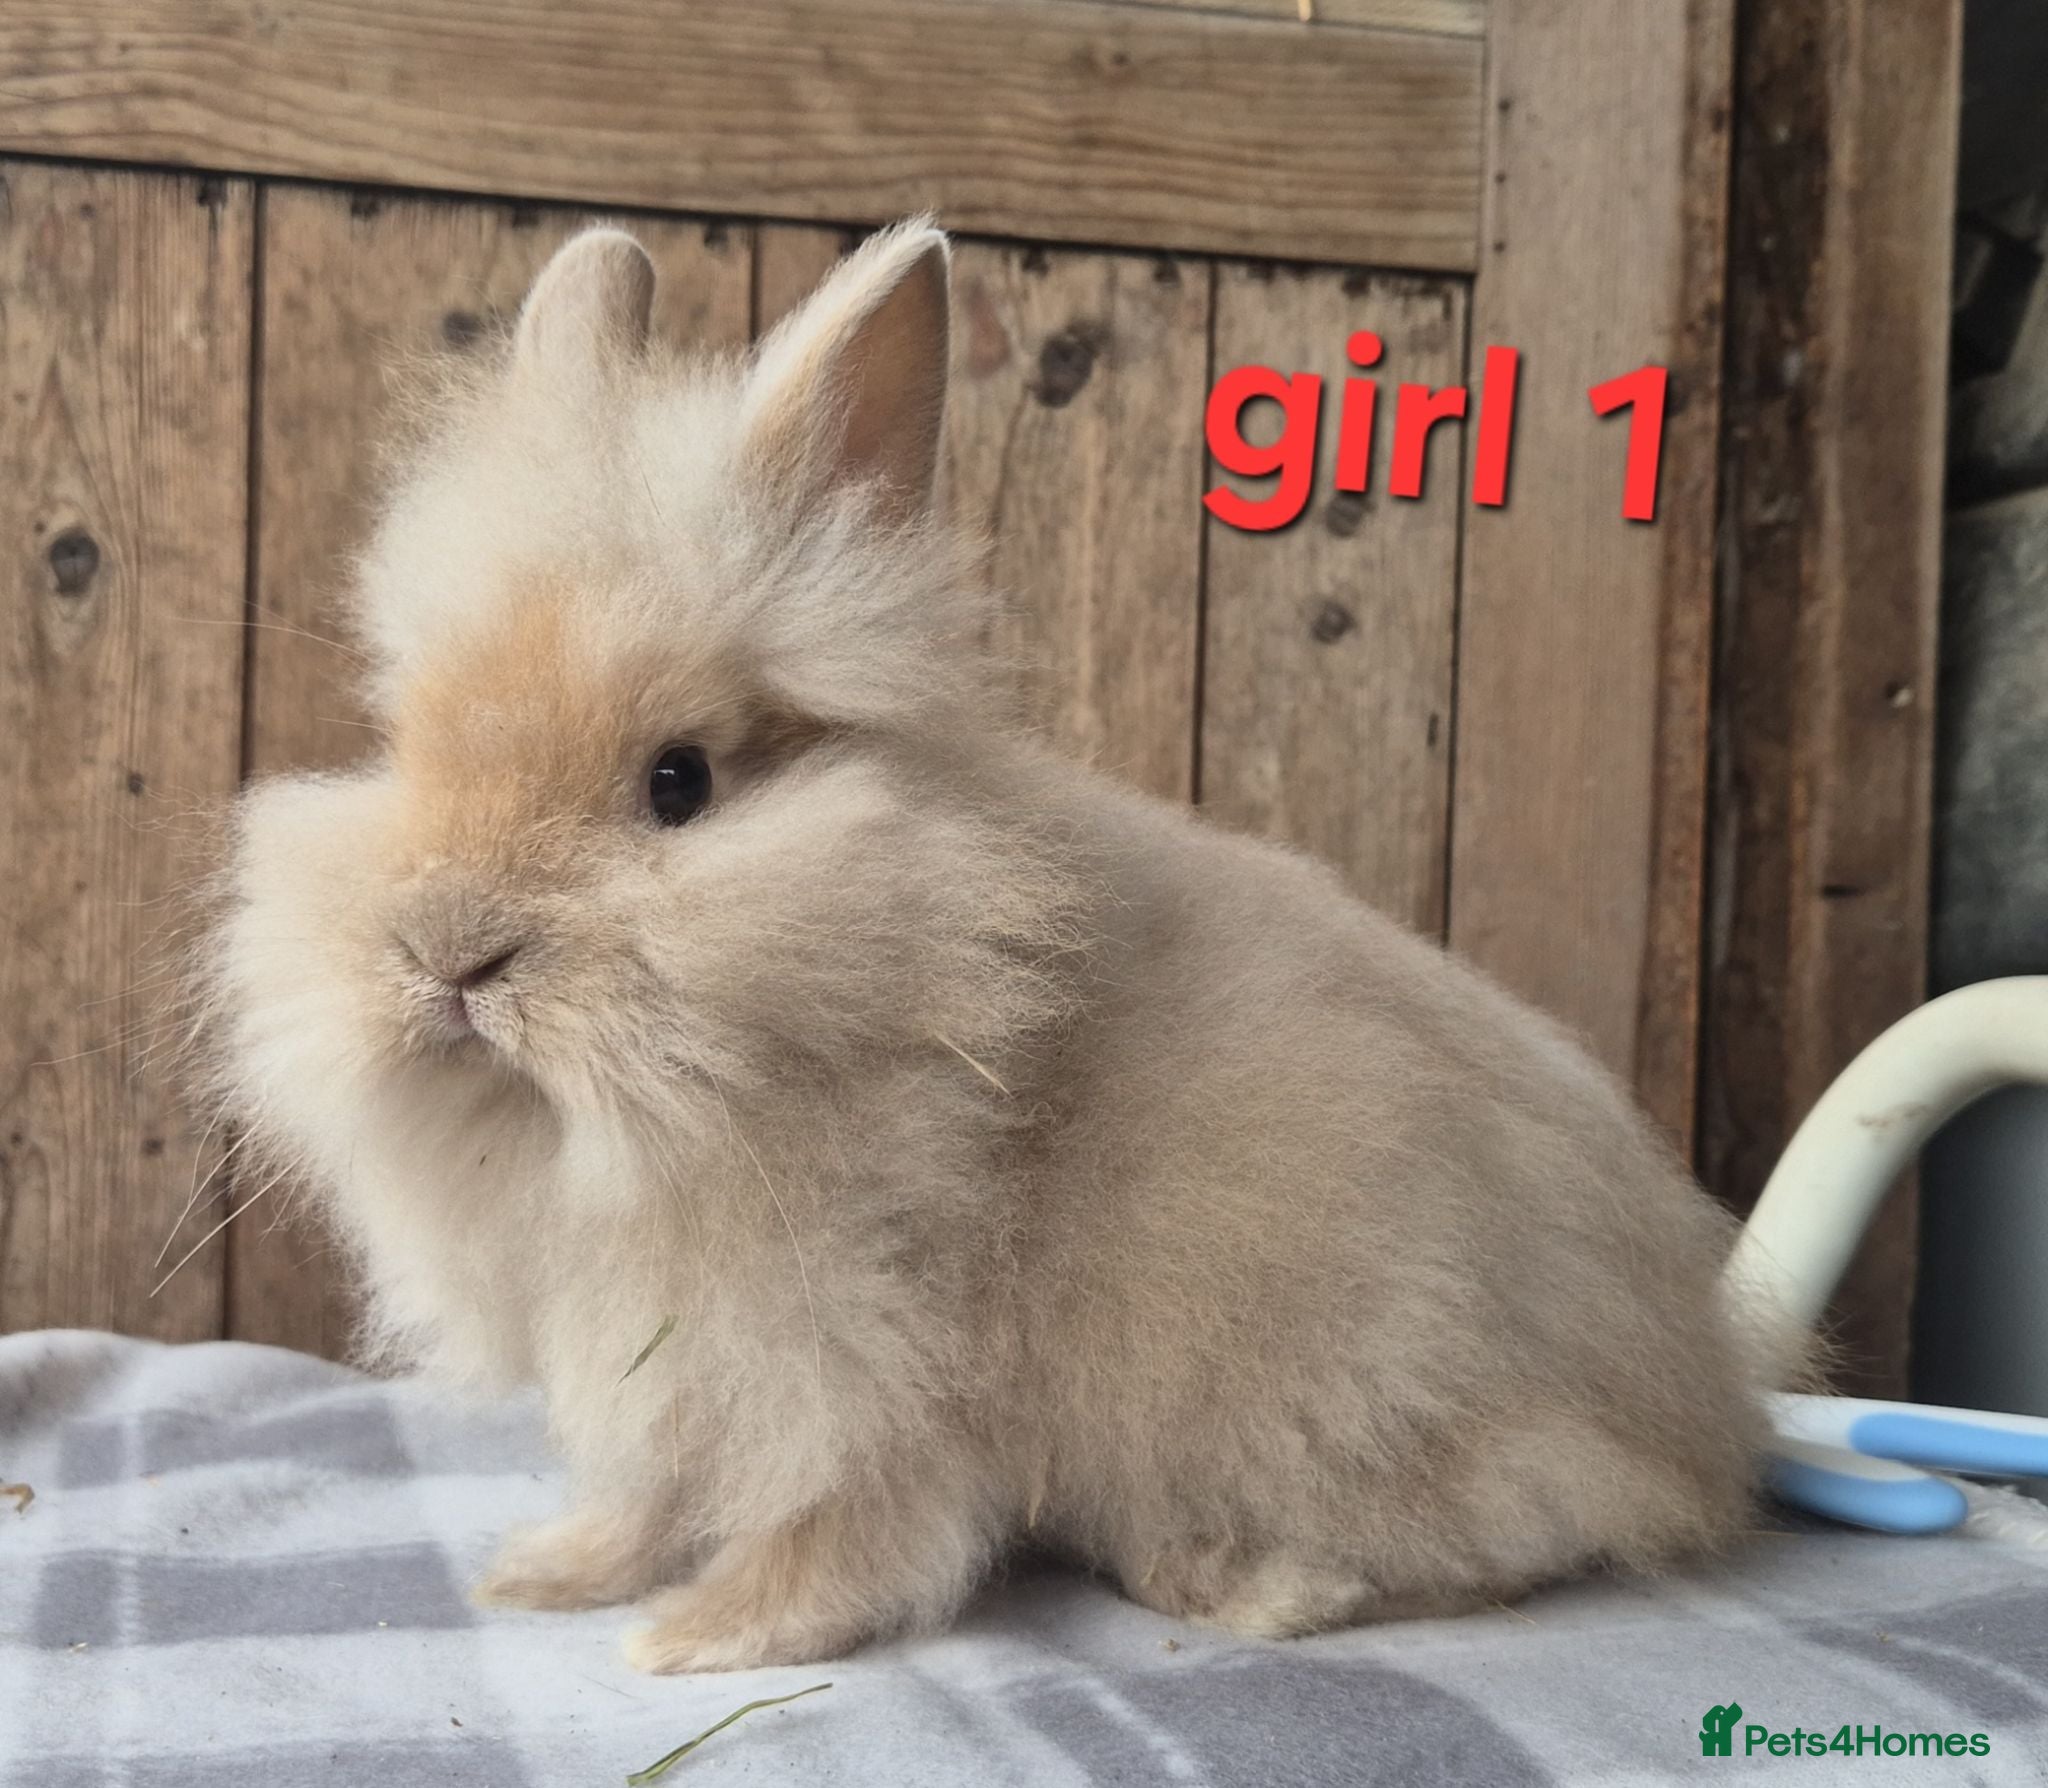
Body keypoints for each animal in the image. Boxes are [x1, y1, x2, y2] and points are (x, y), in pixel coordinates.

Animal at [196, 219, 1767, 1674]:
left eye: (678, 783)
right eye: (406, 744)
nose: (449, 956)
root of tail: (1695, 1397)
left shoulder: (857, 1346)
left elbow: (846, 1516)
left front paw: (705, 1638)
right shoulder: (661, 1361)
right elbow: (651, 1489)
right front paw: (550, 1575)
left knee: (1529, 1528)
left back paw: (1247, 1583)